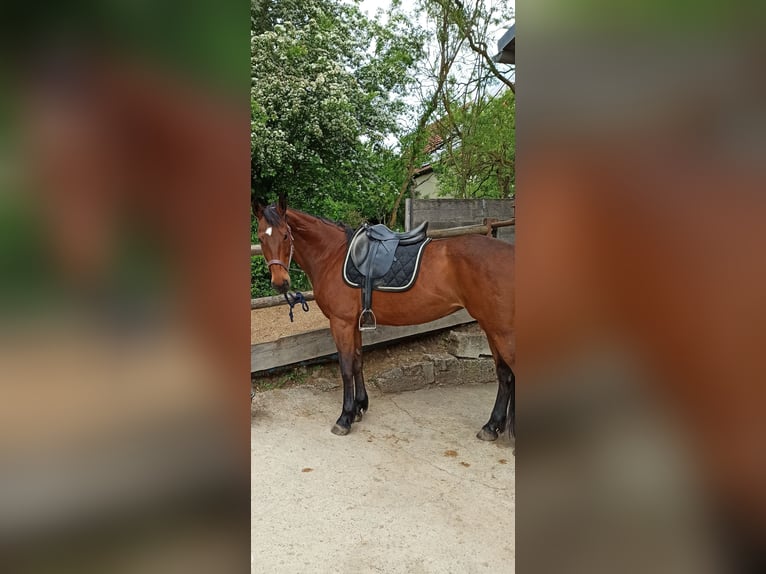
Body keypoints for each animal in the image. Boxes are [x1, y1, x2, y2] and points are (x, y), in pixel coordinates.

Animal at [253, 195, 515, 443]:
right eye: (261, 238)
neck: (332, 254)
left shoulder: (341, 322)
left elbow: (345, 368)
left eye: (285, 235)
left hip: (501, 331)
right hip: (491, 327)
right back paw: (492, 427)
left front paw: (344, 418)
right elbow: (357, 362)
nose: (280, 283)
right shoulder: (353, 323)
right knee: (504, 374)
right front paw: (359, 407)